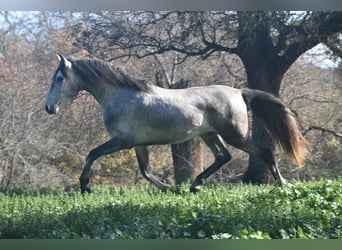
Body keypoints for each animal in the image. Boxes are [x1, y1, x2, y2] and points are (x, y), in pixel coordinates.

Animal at [44, 54, 308, 194]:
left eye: (59, 78)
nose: (49, 107)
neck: (120, 95)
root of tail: (240, 92)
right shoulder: (139, 144)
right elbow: (146, 171)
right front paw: (170, 189)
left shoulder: (122, 141)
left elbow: (92, 154)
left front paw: (84, 186)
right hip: (210, 135)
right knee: (223, 157)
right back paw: (195, 185)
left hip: (234, 135)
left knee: (265, 152)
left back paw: (283, 183)